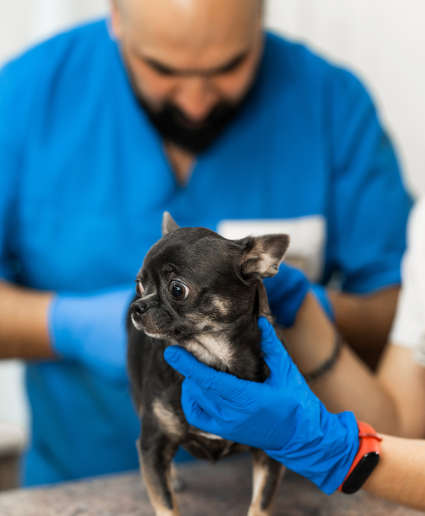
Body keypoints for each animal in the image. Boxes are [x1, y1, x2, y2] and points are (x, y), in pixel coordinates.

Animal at [127, 212, 290, 512]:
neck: (214, 360)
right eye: (139, 284)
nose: (137, 306)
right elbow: (165, 504)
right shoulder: (152, 445)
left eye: (177, 289)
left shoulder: (271, 452)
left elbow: (260, 504)